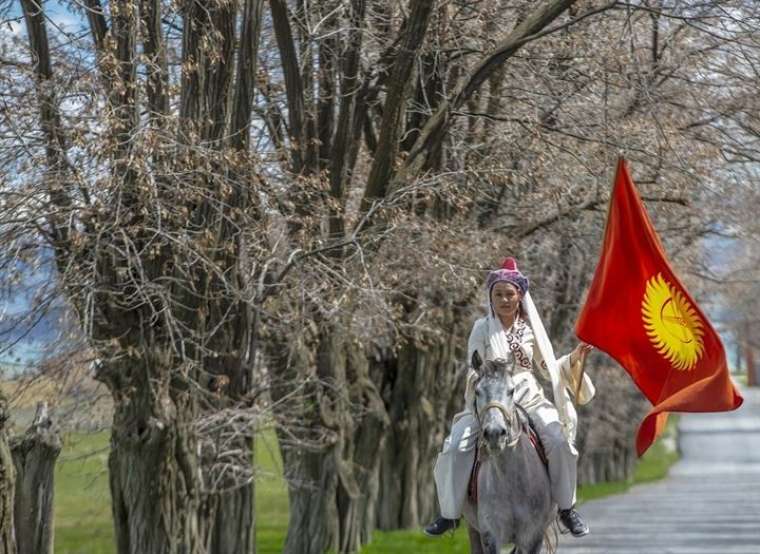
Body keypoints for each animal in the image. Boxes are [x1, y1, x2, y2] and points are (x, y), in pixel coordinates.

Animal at [460, 352, 556, 548]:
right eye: (477, 391)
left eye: (511, 391)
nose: (494, 433)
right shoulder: (490, 537)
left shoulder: (532, 537)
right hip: (473, 530)